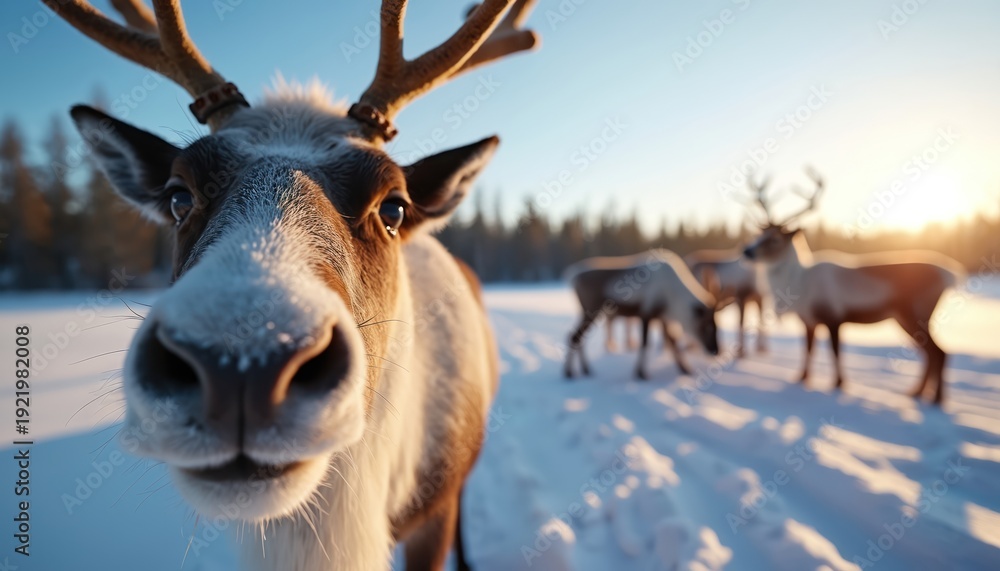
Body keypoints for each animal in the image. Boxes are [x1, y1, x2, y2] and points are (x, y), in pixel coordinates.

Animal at [564, 249, 720, 380]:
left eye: (716, 326)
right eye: (706, 325)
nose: (715, 350)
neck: (673, 298)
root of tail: (573, 276)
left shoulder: (662, 317)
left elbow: (673, 343)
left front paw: (685, 369)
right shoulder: (647, 313)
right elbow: (645, 343)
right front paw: (641, 373)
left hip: (586, 312)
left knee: (577, 336)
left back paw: (586, 370)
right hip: (591, 310)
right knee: (575, 337)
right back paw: (569, 373)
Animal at [742, 168, 964, 405]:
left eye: (775, 239)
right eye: (759, 234)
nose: (747, 251)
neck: (799, 286)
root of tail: (950, 275)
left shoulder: (833, 316)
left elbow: (835, 351)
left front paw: (838, 384)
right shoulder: (808, 319)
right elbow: (808, 350)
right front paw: (801, 378)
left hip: (916, 312)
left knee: (939, 352)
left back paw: (936, 399)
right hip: (907, 317)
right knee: (929, 353)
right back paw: (917, 393)